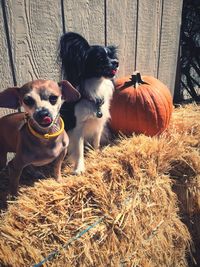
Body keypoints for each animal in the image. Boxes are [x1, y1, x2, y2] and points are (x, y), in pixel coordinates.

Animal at [58, 32, 118, 175]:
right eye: (100, 59)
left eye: (111, 56)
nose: (116, 62)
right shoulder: (78, 129)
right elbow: (79, 151)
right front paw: (79, 168)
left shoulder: (99, 126)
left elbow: (96, 143)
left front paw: (96, 155)